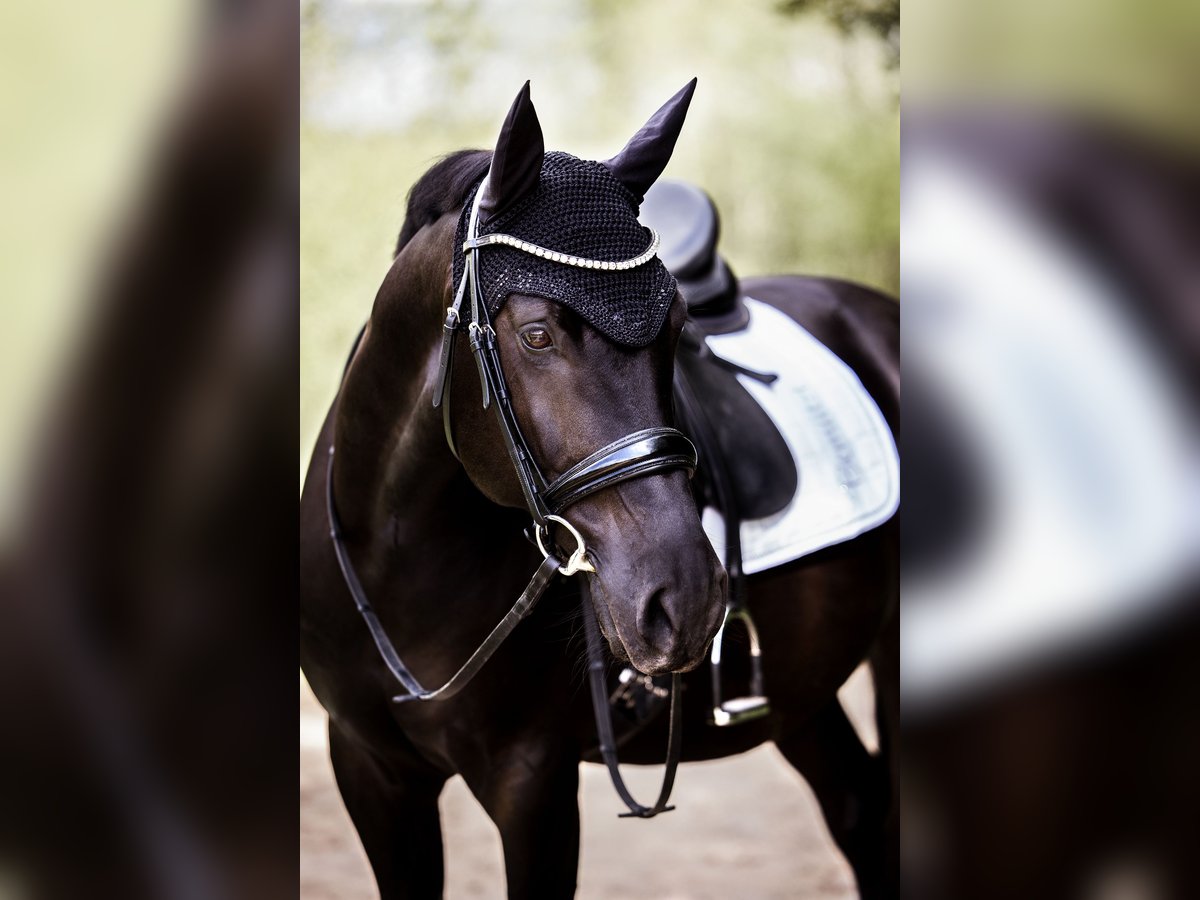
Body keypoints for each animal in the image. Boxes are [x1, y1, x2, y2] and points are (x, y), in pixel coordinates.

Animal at [299, 80, 899, 898]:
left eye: (677, 327)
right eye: (537, 334)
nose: (687, 598)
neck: (399, 558)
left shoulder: (535, 785)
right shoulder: (369, 768)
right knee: (859, 810)